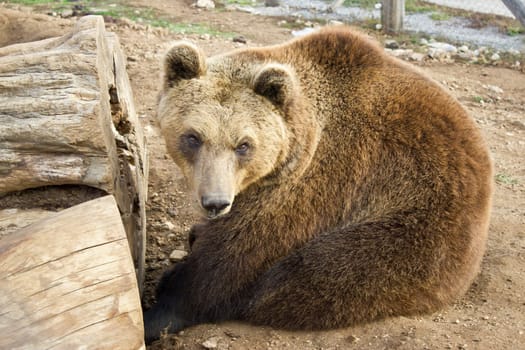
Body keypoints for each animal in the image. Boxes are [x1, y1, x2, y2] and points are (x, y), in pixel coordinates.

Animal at [142, 26, 492, 344]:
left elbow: (230, 262)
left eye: (243, 145)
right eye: (193, 137)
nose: (215, 202)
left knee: (306, 277)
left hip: (416, 233)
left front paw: (160, 309)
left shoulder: (313, 185)